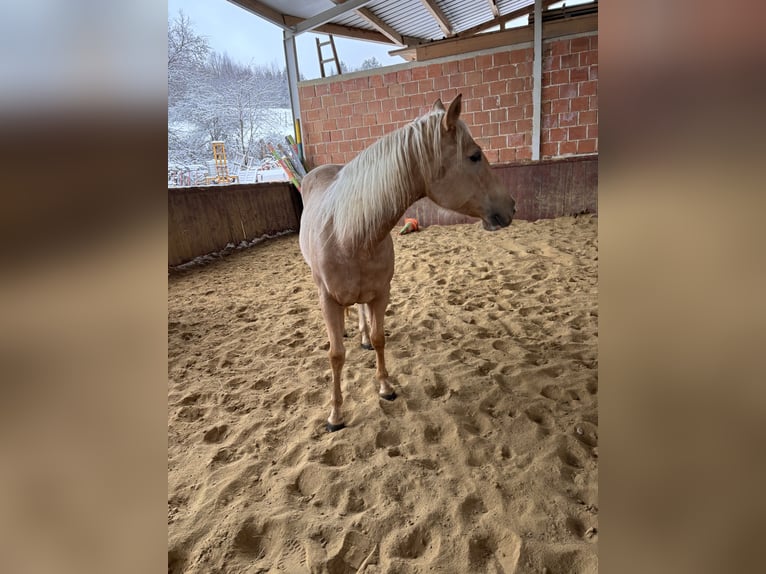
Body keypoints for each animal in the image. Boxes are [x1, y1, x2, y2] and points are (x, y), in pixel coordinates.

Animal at [299, 94, 516, 432]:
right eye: (475, 156)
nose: (511, 207)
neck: (348, 234)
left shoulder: (380, 294)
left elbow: (379, 339)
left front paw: (385, 387)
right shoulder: (328, 300)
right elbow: (336, 355)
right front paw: (335, 415)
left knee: (362, 315)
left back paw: (360, 335)